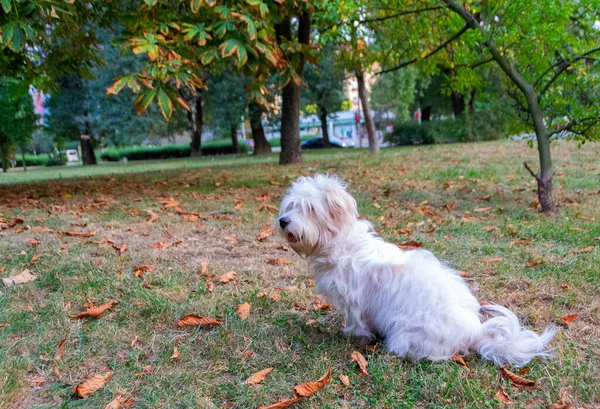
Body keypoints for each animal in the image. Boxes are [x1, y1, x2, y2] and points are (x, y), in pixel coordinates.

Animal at [278, 174, 556, 364]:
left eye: (309, 208)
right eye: (290, 205)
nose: (282, 221)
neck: (342, 244)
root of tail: (474, 332)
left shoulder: (351, 301)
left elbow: (355, 322)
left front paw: (352, 335)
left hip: (406, 334)